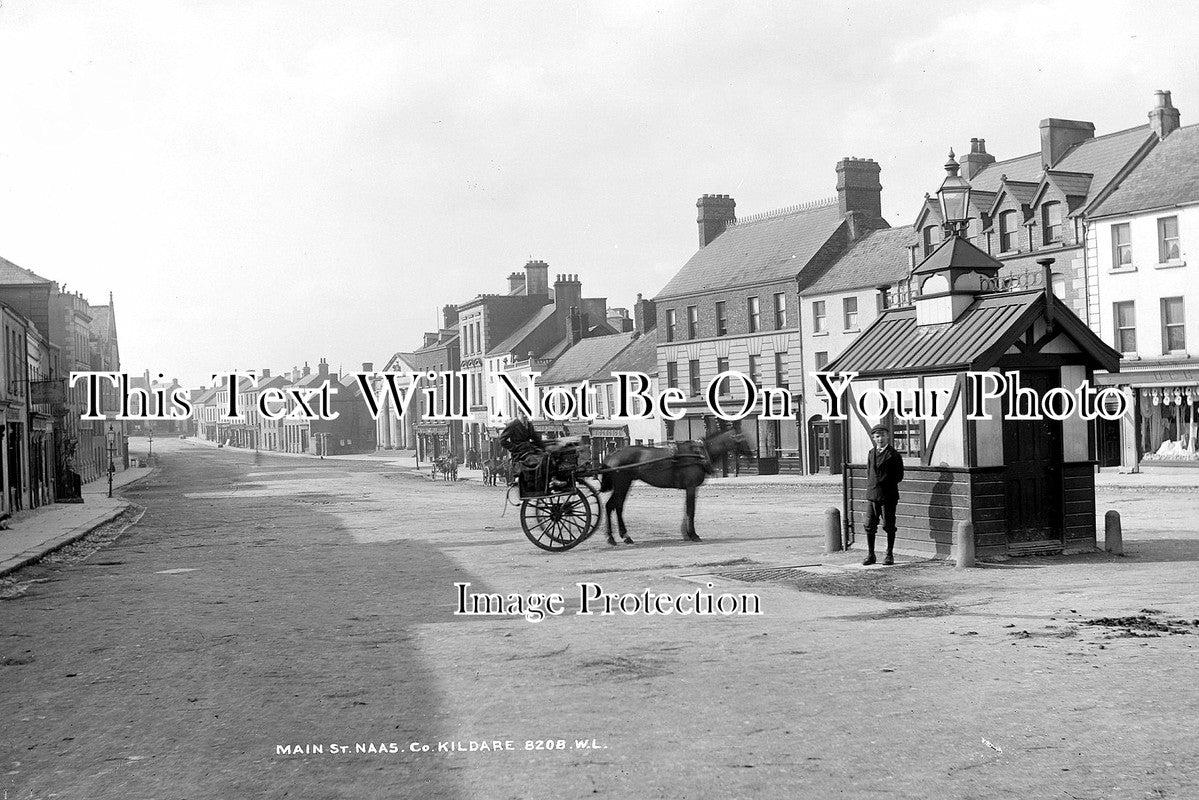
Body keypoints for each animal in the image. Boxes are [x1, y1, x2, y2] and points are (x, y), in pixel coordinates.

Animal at [597, 431, 748, 544]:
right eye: (742, 441)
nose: (751, 454)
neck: (699, 454)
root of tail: (611, 455)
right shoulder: (691, 487)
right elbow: (690, 510)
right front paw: (693, 535)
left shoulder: (690, 488)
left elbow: (687, 510)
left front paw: (686, 533)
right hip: (622, 484)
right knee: (612, 506)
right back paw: (612, 537)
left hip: (625, 484)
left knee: (617, 506)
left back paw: (623, 536)